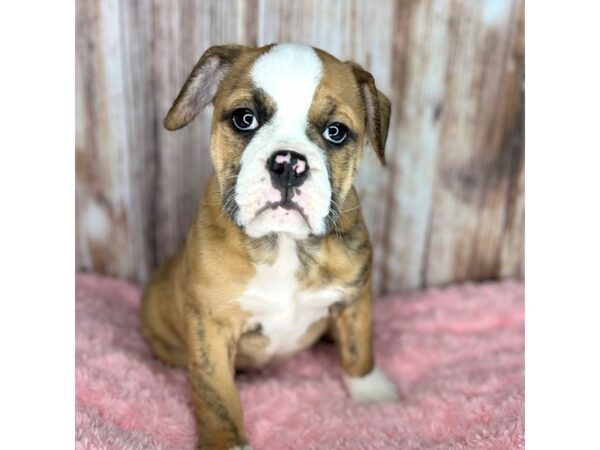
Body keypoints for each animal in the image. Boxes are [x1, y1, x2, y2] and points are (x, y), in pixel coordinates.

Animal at [142, 43, 398, 450]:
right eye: (245, 119)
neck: (285, 245)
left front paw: (372, 393)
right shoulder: (211, 328)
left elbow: (360, 346)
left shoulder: (356, 298)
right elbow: (216, 395)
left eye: (336, 132)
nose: (289, 163)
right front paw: (226, 441)